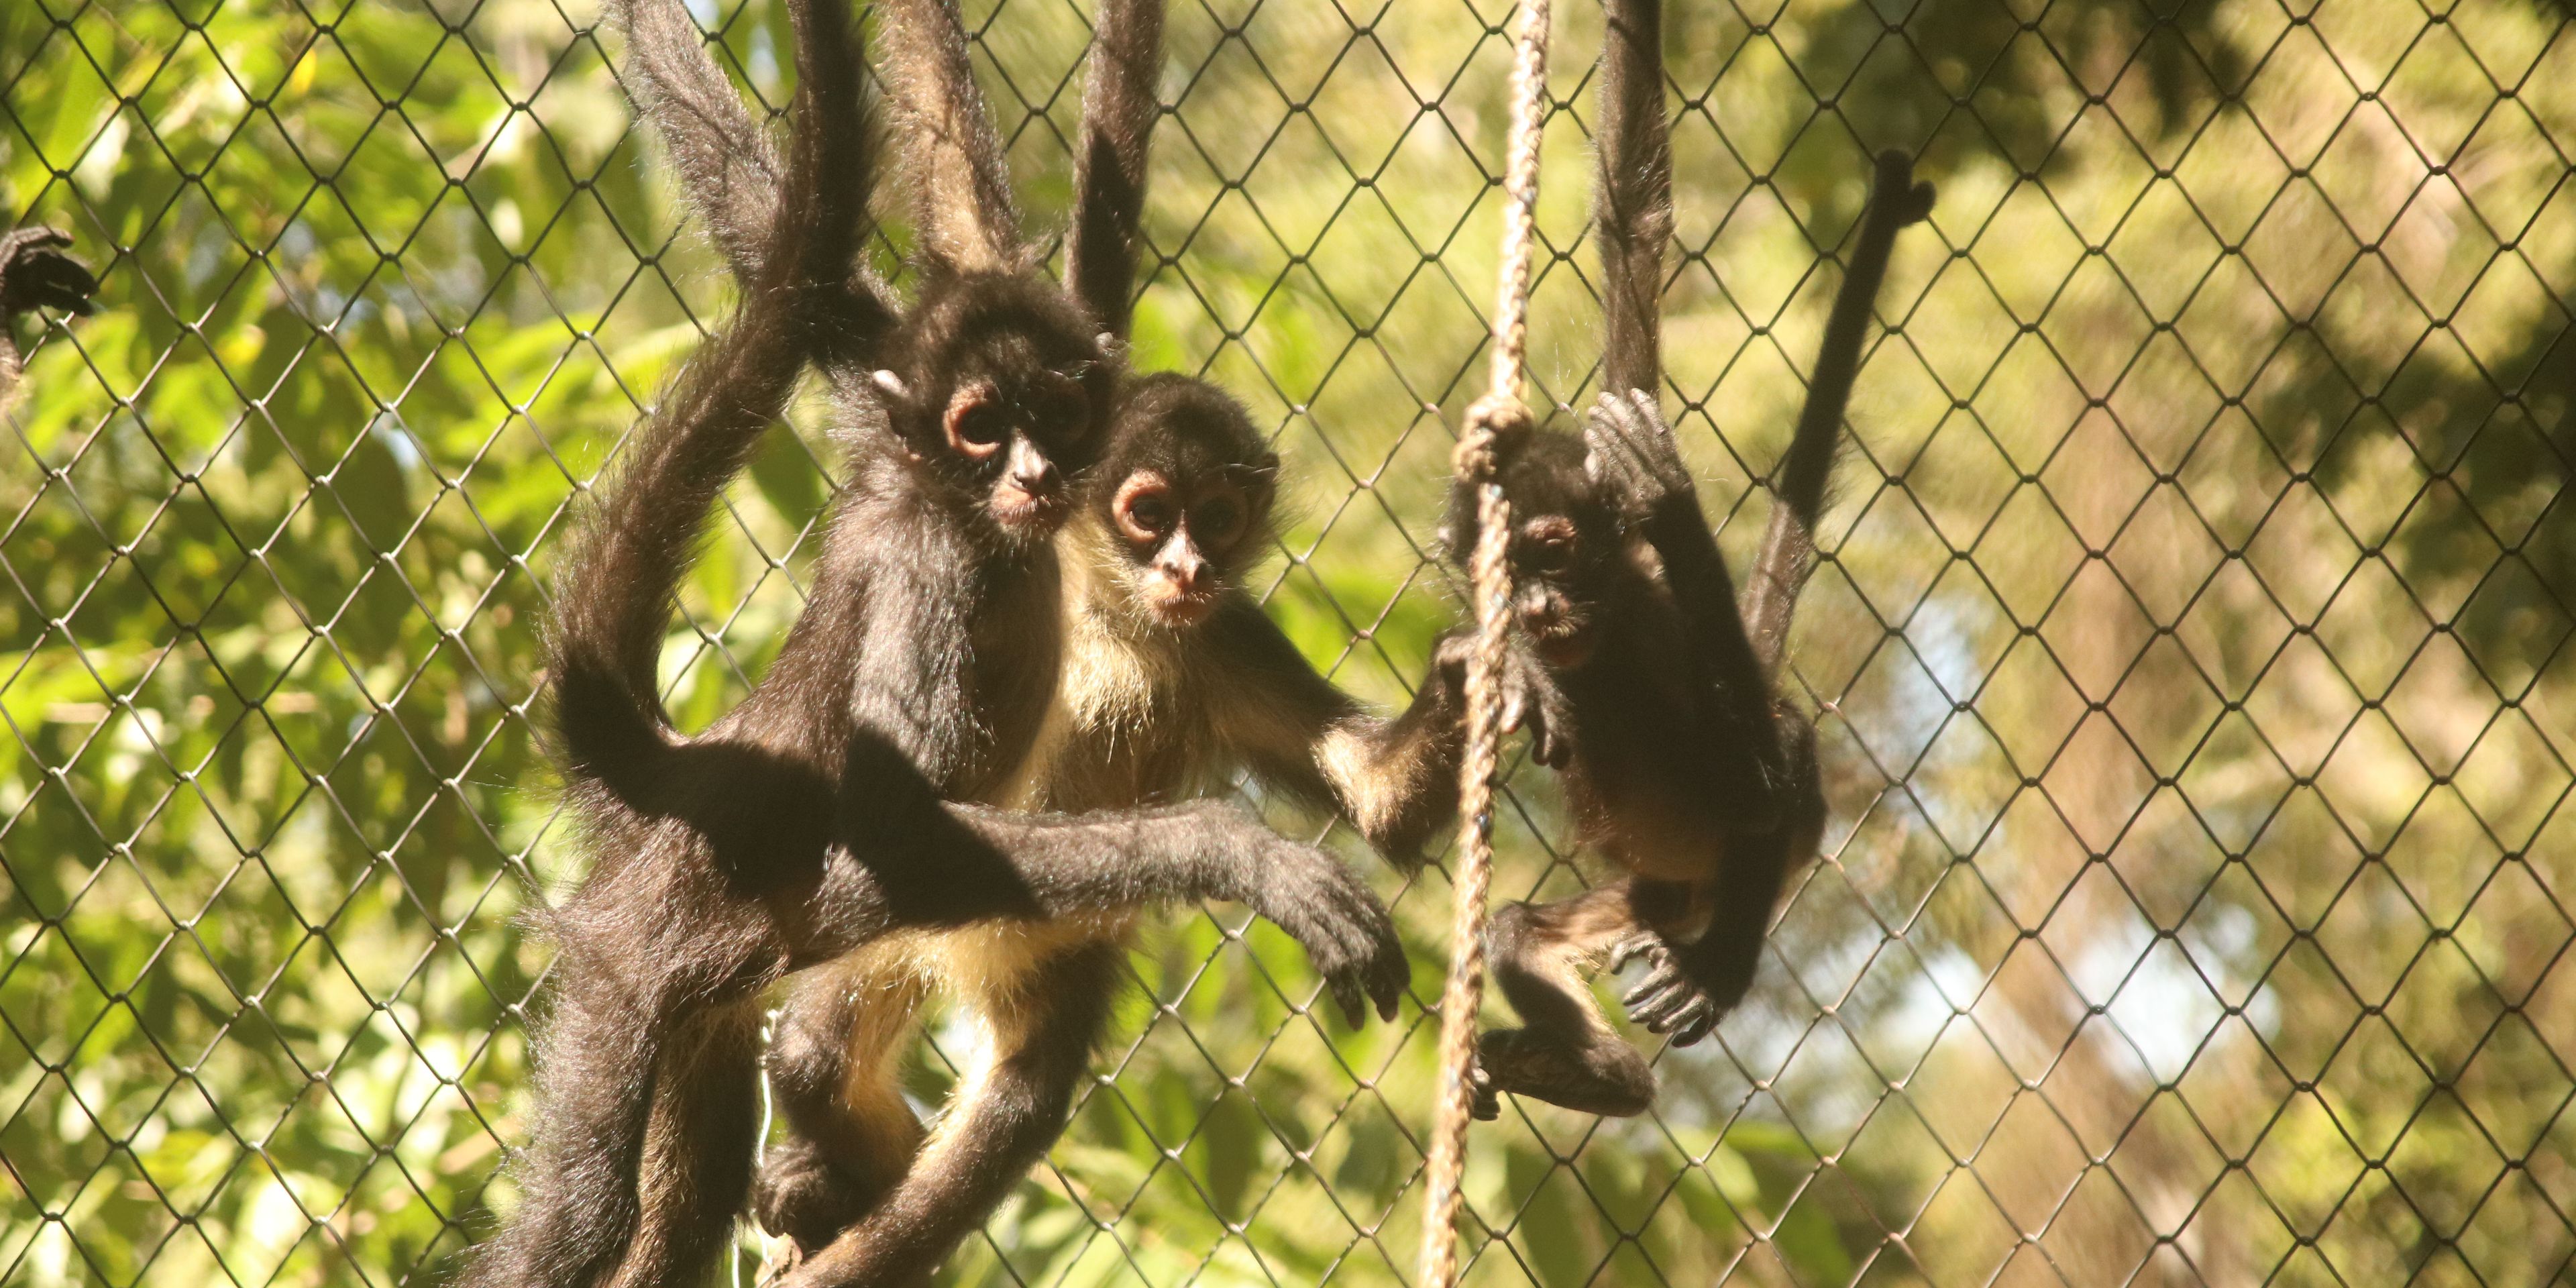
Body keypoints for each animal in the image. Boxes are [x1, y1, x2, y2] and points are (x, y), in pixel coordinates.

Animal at [455, 3, 1408, 1285]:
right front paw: (1246, 855)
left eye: (1056, 413)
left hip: (694, 1009)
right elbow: (890, 839)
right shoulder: (929, 559)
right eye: (980, 426)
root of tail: (689, 775)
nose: (1035, 472)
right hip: (626, 970)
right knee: (586, 1222)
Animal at [1458, 0, 1936, 1120]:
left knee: (1785, 755)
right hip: (1649, 897)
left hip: (1739, 866)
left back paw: (1719, 973)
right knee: (1518, 936)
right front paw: (1516, 670)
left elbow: (1762, 779)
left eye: (1554, 556)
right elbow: (1631, 213)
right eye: (1509, 573)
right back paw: (1606, 1078)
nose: (1535, 611)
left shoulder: (1654, 610)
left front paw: (1672, 505)